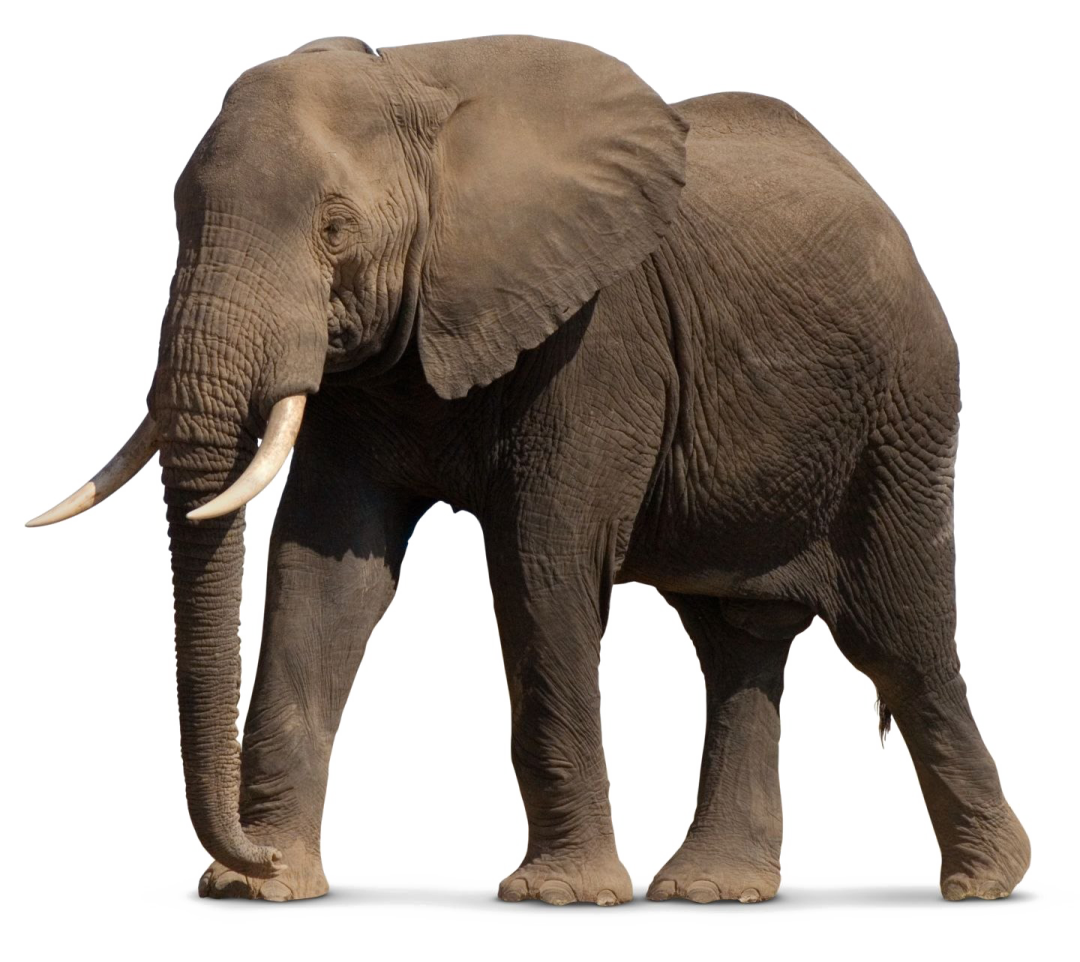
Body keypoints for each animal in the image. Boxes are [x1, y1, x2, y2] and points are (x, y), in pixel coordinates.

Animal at [27, 35, 1029, 906]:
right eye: (179, 218)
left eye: (336, 229)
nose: (248, 854)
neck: (416, 90)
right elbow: (325, 570)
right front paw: (264, 889)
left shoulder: (600, 334)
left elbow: (541, 559)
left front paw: (562, 898)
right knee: (736, 637)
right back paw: (713, 890)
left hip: (899, 414)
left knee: (898, 634)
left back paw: (984, 883)